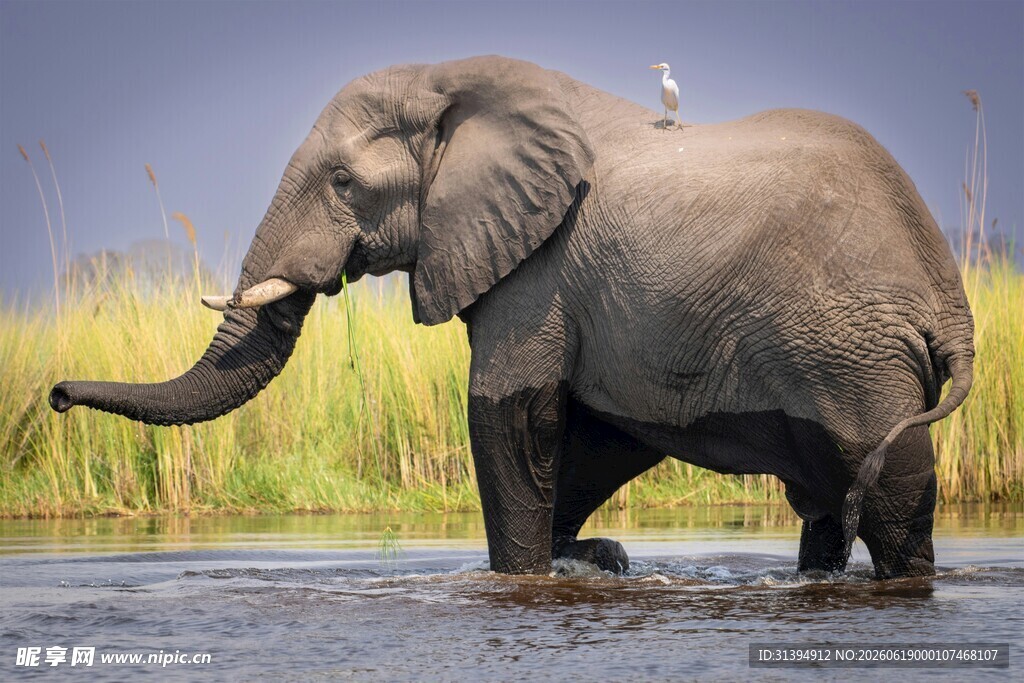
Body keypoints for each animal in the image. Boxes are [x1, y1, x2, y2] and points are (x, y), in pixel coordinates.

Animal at [50, 55, 974, 579]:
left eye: (343, 182)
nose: (54, 395)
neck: (457, 85)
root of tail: (952, 304)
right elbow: (593, 434)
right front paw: (597, 560)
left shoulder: (542, 266)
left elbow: (510, 417)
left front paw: (532, 576)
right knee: (829, 498)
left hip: (856, 357)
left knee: (893, 501)